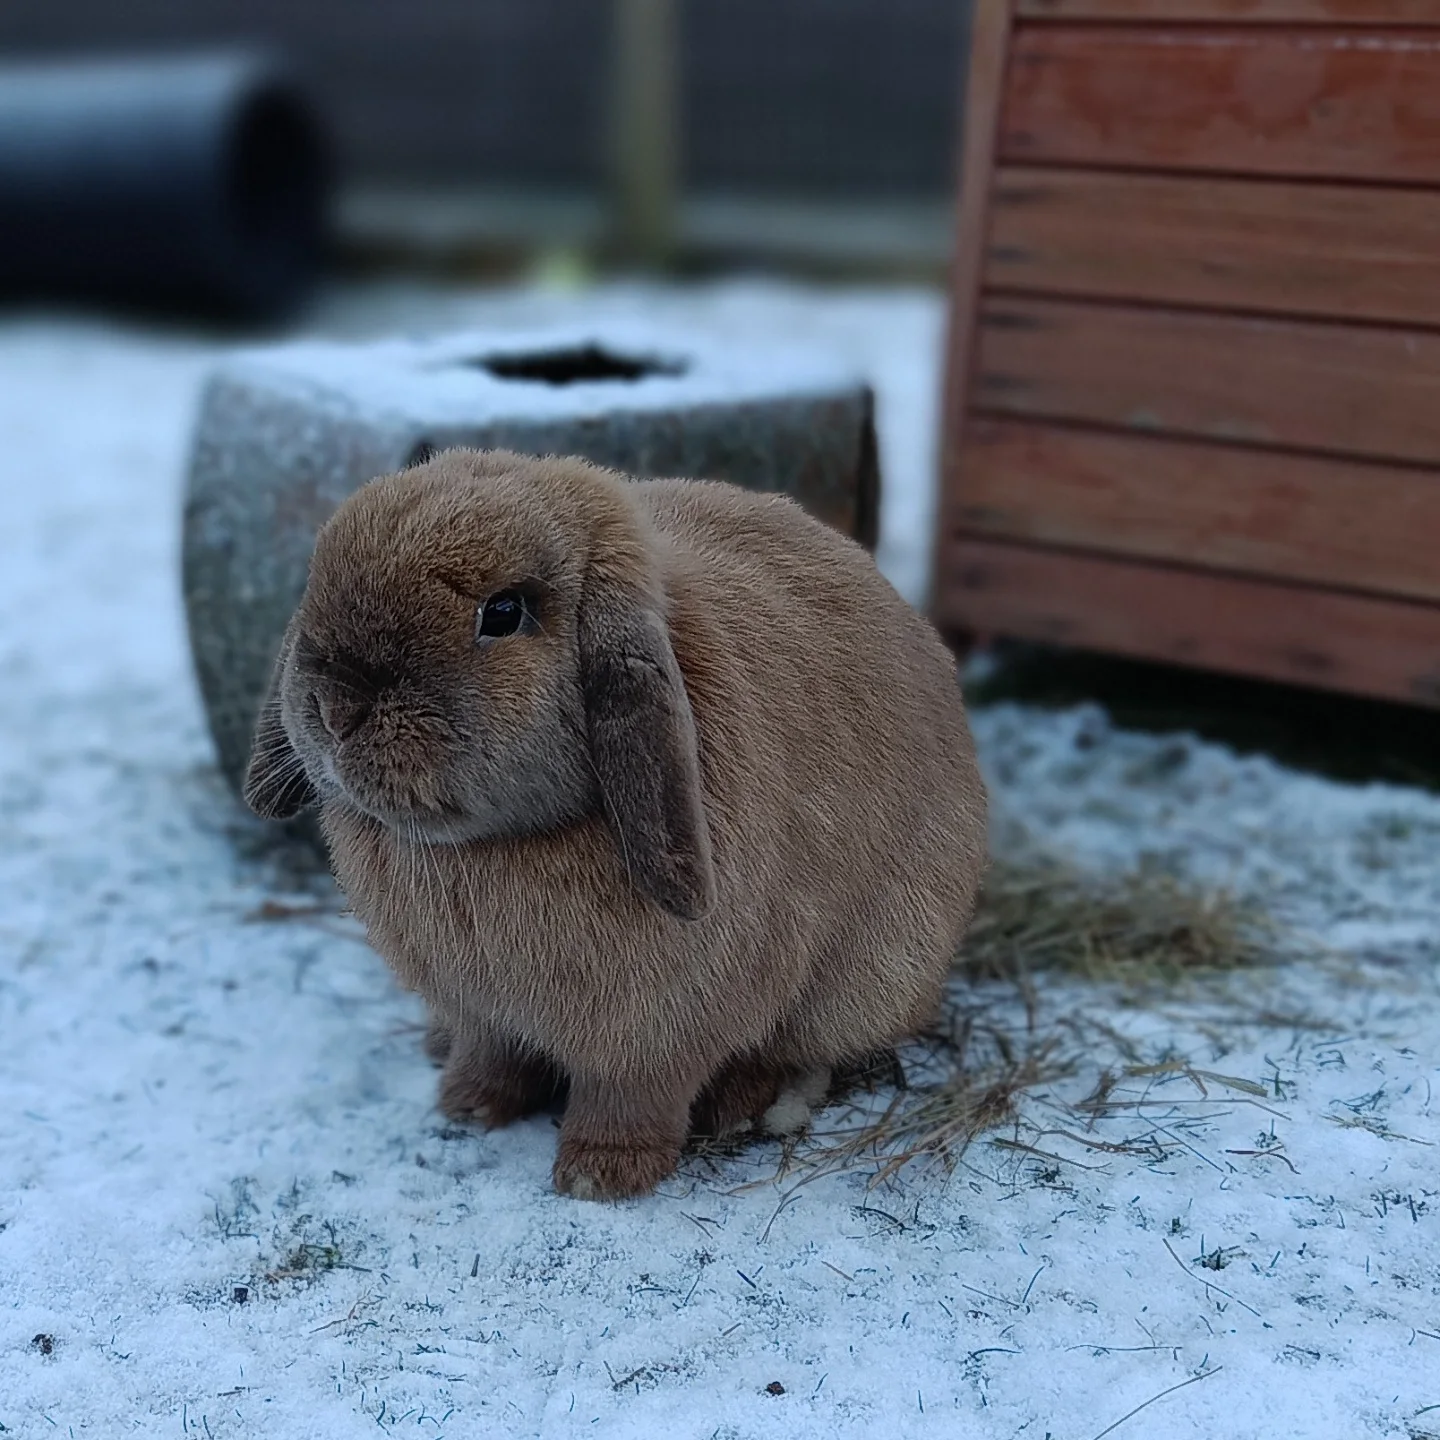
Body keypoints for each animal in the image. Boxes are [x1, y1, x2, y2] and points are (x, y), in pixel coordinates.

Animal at [243, 448, 988, 1200]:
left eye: (503, 612)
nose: (334, 709)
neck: (502, 845)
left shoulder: (660, 1031)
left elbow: (632, 1096)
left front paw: (598, 1175)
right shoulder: (484, 1013)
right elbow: (493, 1053)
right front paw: (468, 1105)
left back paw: (741, 1104)